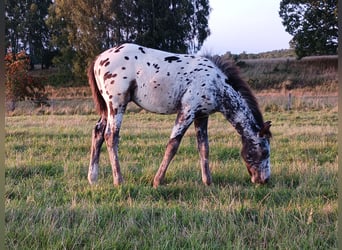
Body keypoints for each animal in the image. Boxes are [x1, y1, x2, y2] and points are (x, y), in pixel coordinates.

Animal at [87, 43, 272, 188]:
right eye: (264, 152)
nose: (264, 180)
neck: (216, 83)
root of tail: (99, 59)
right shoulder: (187, 110)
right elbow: (173, 145)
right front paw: (157, 181)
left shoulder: (201, 116)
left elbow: (204, 147)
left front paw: (208, 182)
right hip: (117, 104)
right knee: (111, 136)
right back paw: (119, 181)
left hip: (107, 109)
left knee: (98, 132)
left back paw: (93, 178)